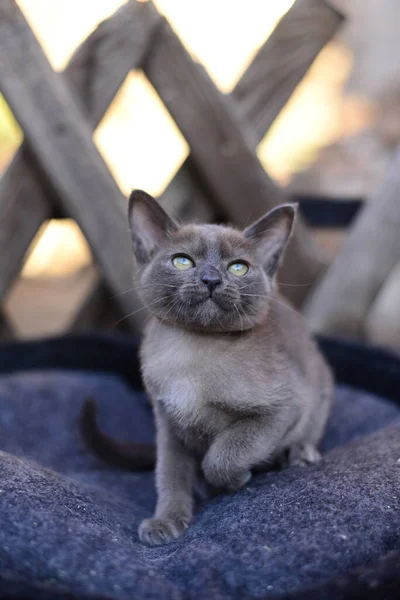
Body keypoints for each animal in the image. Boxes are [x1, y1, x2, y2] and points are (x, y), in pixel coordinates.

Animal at [82, 190, 334, 548]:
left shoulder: (283, 408)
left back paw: (298, 454)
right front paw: (166, 521)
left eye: (238, 268)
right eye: (182, 261)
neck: (191, 355)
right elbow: (169, 475)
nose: (212, 279)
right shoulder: (168, 423)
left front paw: (234, 479)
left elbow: (225, 453)